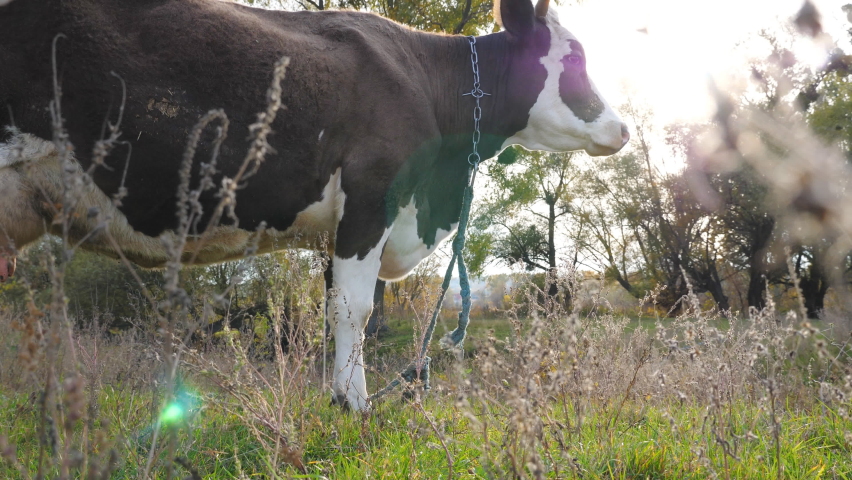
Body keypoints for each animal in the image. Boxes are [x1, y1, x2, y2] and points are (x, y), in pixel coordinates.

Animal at [0, 0, 628, 411]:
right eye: (575, 59)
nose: (622, 130)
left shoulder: (342, 226)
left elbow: (333, 307)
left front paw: (339, 395)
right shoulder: (372, 195)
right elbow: (355, 309)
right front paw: (355, 405)